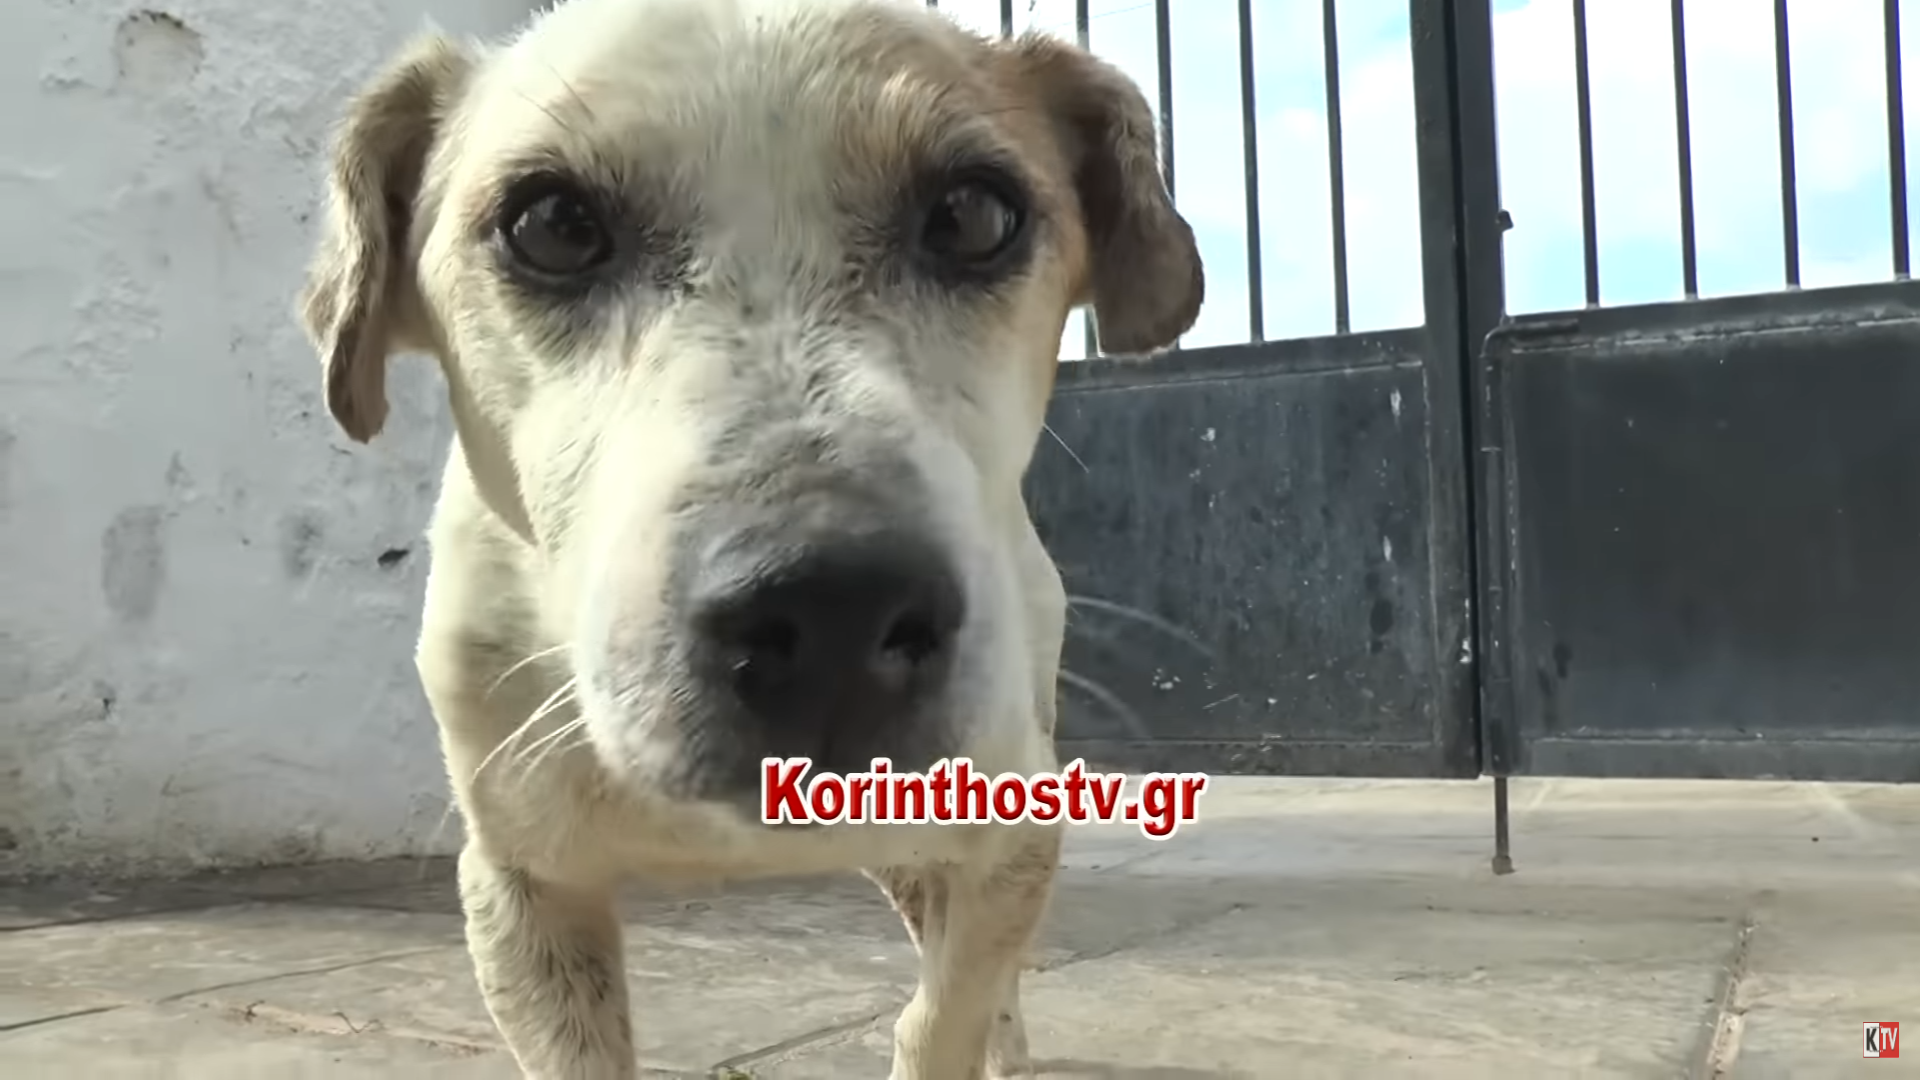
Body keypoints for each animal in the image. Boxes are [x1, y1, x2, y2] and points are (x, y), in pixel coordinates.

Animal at [298, 0, 1201, 1075]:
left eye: (973, 217)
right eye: (552, 227)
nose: (832, 608)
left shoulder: (1011, 832)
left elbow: (941, 1015)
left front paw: (968, 1031)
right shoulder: (522, 889)